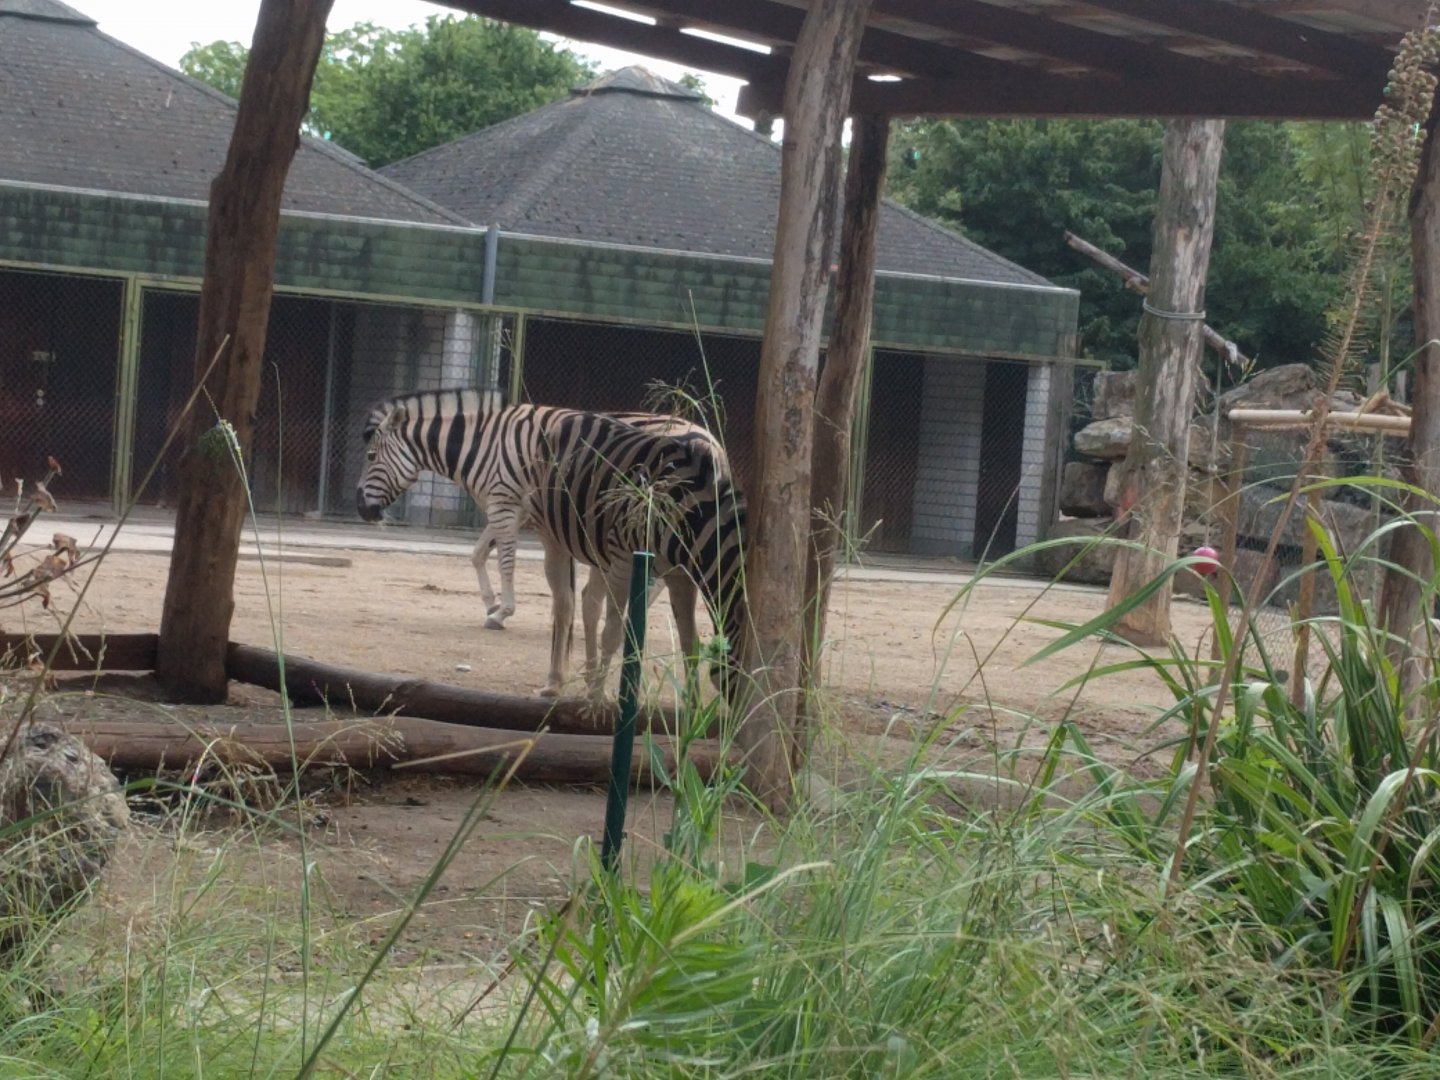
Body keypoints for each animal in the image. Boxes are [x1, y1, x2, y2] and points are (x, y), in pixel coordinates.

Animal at [356, 390, 746, 698]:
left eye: (371, 457)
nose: (361, 508)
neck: (482, 443)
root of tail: (709, 438)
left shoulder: (504, 503)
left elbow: (505, 560)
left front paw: (502, 610)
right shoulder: (515, 512)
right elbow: (479, 554)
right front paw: (491, 604)